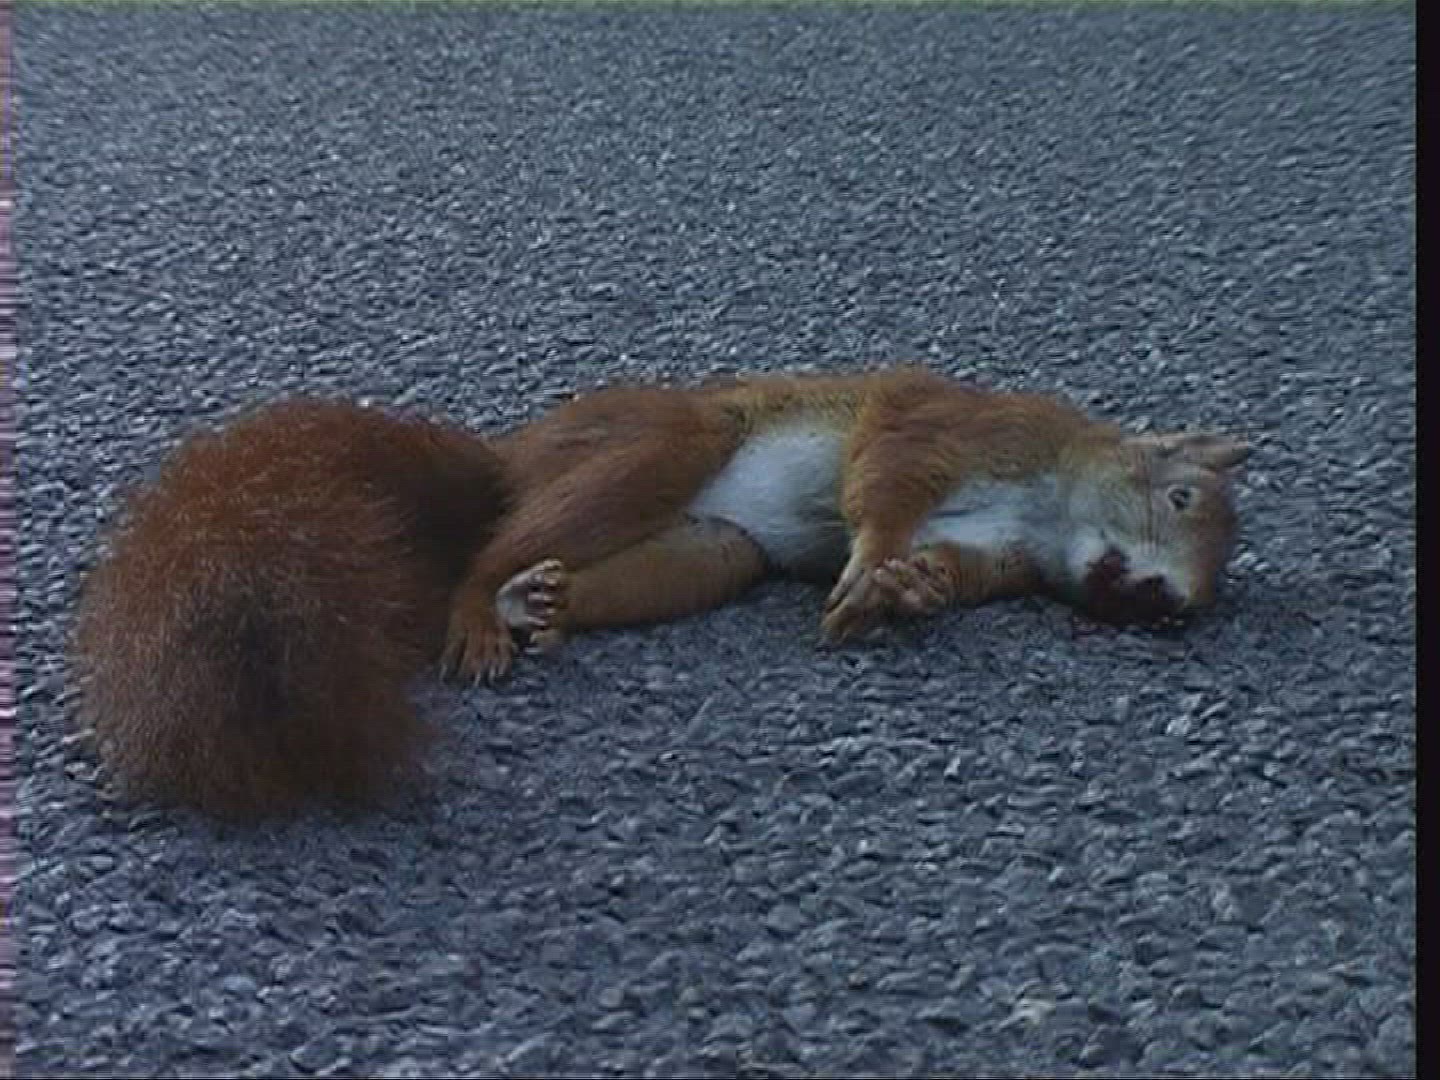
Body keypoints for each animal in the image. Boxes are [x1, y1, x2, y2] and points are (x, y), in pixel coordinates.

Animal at [446, 367, 1251, 680]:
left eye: (1198, 606)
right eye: (1182, 497)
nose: (1165, 600)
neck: (1047, 511)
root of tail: (515, 450)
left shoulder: (1001, 556)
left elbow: (952, 567)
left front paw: (915, 587)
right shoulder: (958, 426)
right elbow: (890, 474)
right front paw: (873, 567)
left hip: (714, 549)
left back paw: (543, 603)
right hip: (667, 441)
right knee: (489, 550)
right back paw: (479, 609)